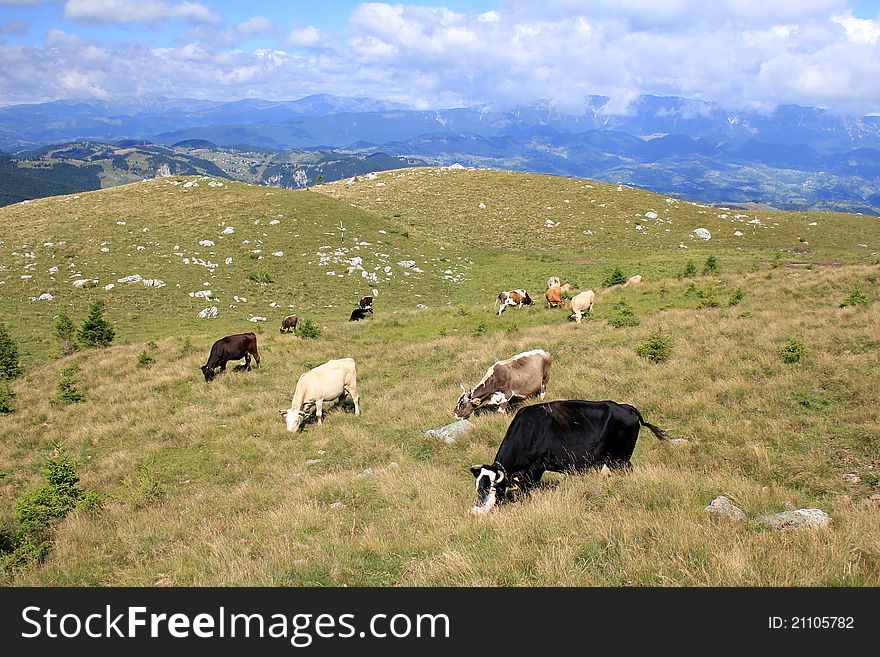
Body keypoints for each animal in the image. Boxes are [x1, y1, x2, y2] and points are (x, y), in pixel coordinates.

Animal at [468, 400, 668, 512]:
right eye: (478, 488)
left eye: (494, 488)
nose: (479, 511)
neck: (529, 429)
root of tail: (627, 408)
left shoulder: (536, 467)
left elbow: (528, 489)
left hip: (621, 459)